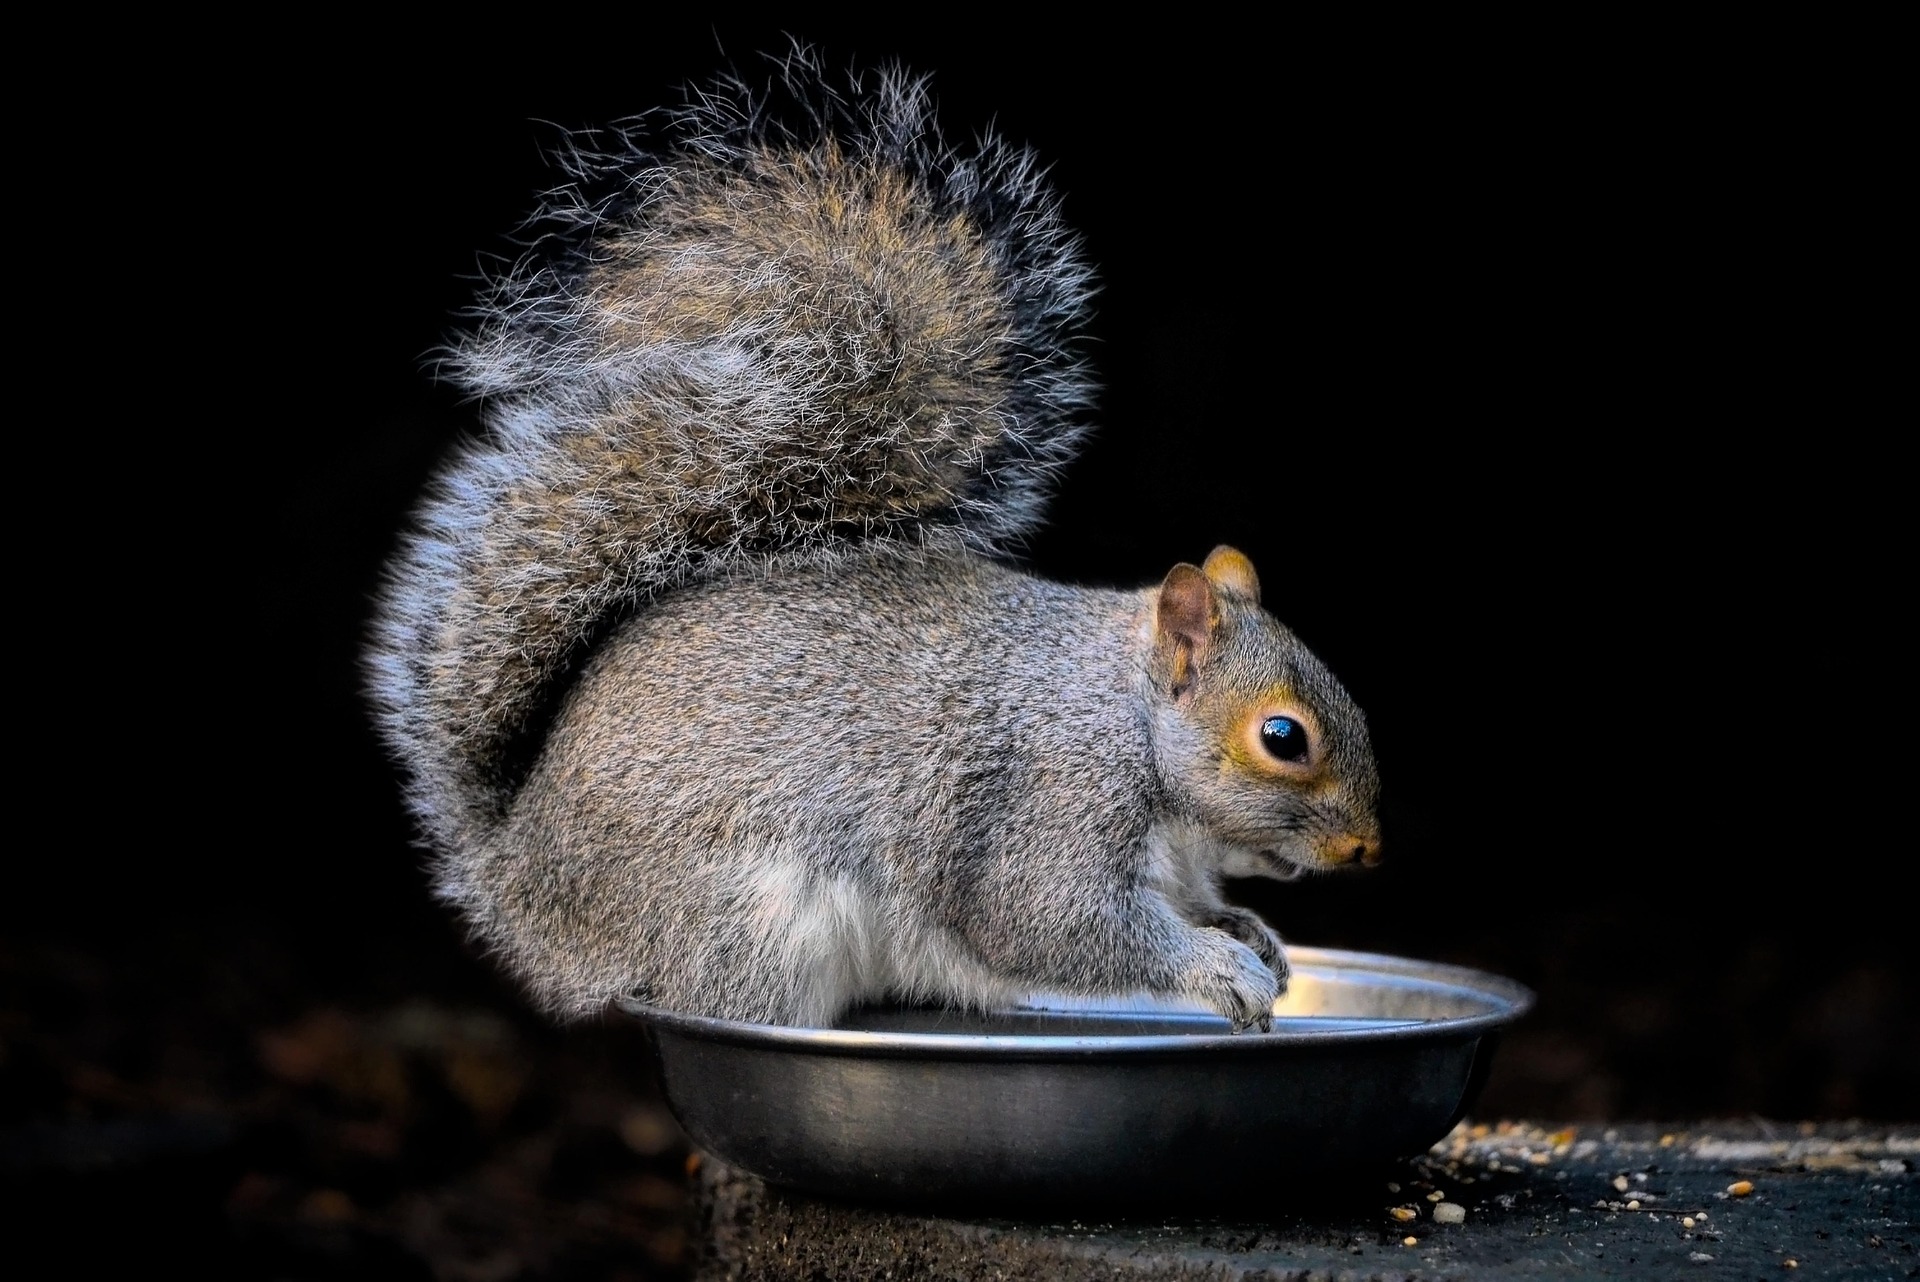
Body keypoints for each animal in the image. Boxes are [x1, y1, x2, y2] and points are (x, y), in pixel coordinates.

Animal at [366, 51, 1383, 1034]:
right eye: (1283, 737)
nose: (1367, 847)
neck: (1126, 717)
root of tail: (520, 883)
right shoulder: (1048, 804)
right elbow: (1052, 922)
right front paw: (1215, 966)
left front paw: (1248, 932)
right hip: (746, 924)